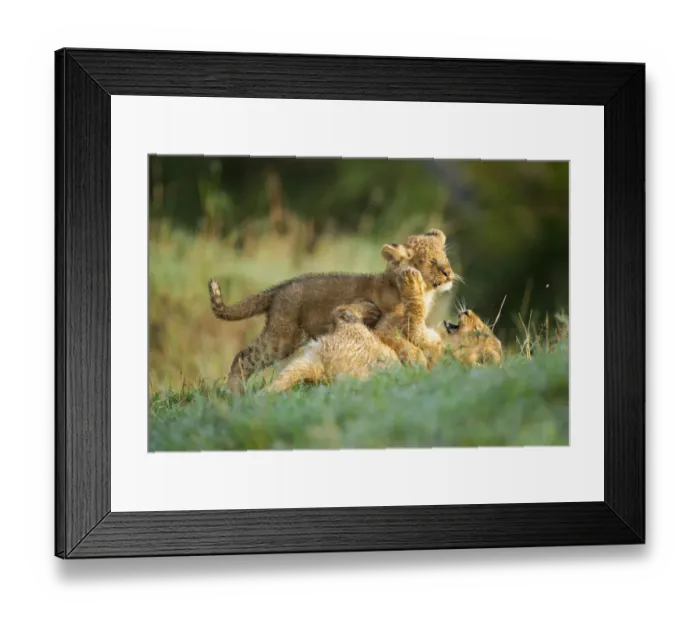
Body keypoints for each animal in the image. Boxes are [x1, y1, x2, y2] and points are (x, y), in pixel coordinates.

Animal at [209, 229, 456, 392]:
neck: (425, 293)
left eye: (446, 258)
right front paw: (419, 366)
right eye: (431, 261)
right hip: (282, 338)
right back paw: (233, 395)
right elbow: (407, 347)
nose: (449, 273)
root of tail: (280, 287)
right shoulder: (383, 330)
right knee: (243, 357)